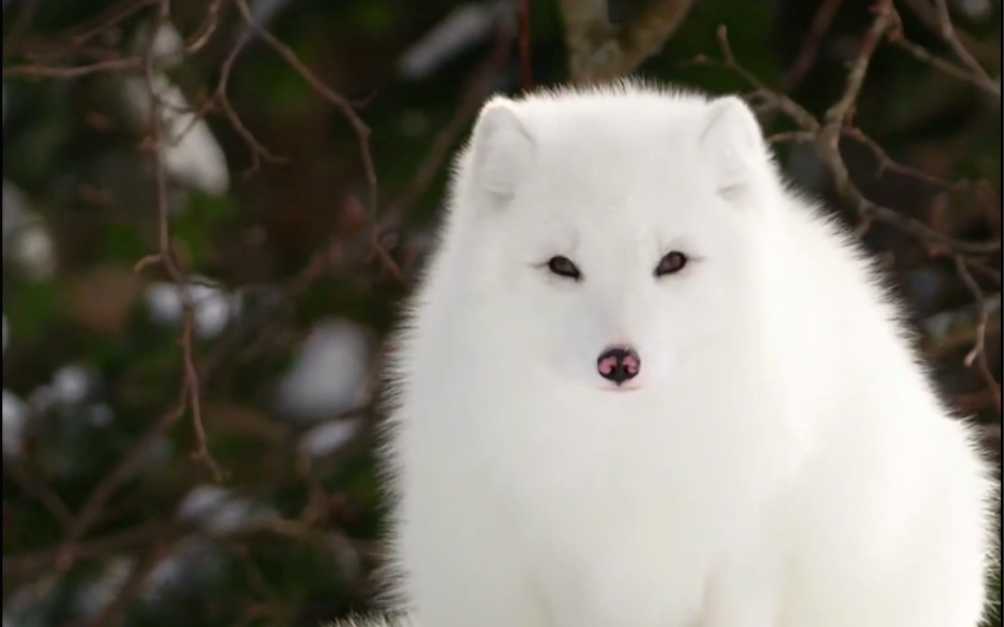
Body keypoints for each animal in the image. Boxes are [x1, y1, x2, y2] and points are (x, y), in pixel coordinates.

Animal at [375, 80, 995, 621]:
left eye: (672, 261)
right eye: (562, 266)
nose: (619, 361)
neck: (632, 454)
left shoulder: (746, 555)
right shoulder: (563, 565)